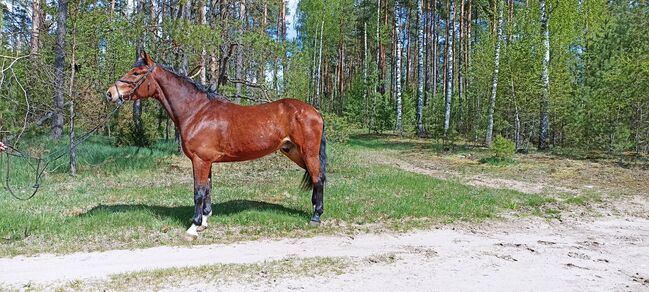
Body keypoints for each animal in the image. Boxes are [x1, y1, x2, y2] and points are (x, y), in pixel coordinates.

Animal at [108, 52, 326, 240]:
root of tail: (314, 111)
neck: (197, 112)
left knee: (318, 178)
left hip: (308, 153)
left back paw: (316, 217)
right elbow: (208, 190)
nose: (110, 94)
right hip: (294, 152)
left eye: (136, 73)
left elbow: (198, 191)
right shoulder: (207, 162)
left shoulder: (200, 160)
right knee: (316, 177)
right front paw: (204, 222)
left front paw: (193, 227)